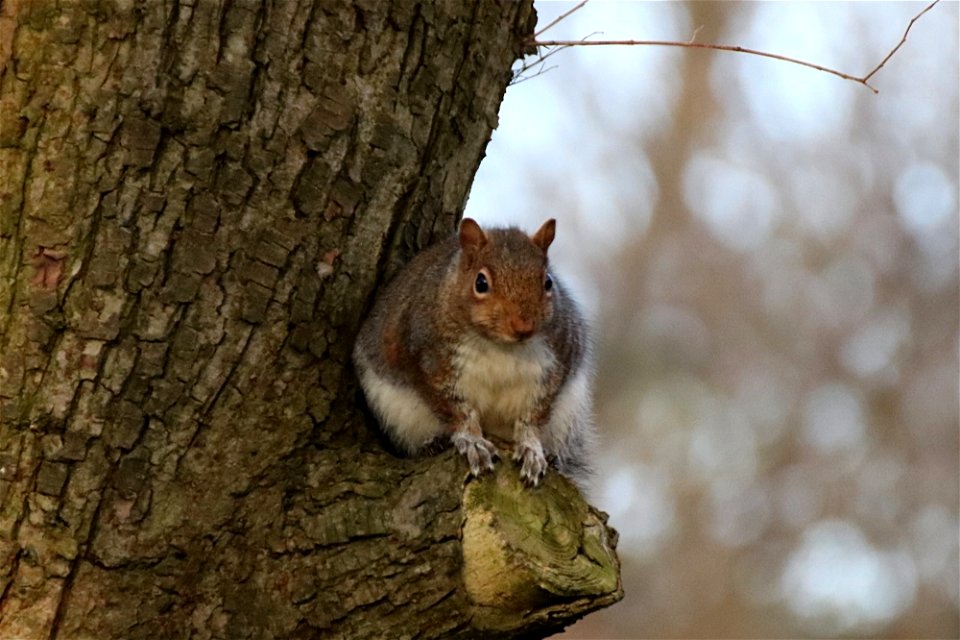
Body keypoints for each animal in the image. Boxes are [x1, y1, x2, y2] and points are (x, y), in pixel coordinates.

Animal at [352, 218, 592, 488]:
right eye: (481, 283)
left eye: (548, 282)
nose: (523, 327)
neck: (502, 346)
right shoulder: (431, 363)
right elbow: (458, 411)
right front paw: (473, 442)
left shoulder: (556, 363)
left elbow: (532, 417)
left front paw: (532, 449)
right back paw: (432, 445)